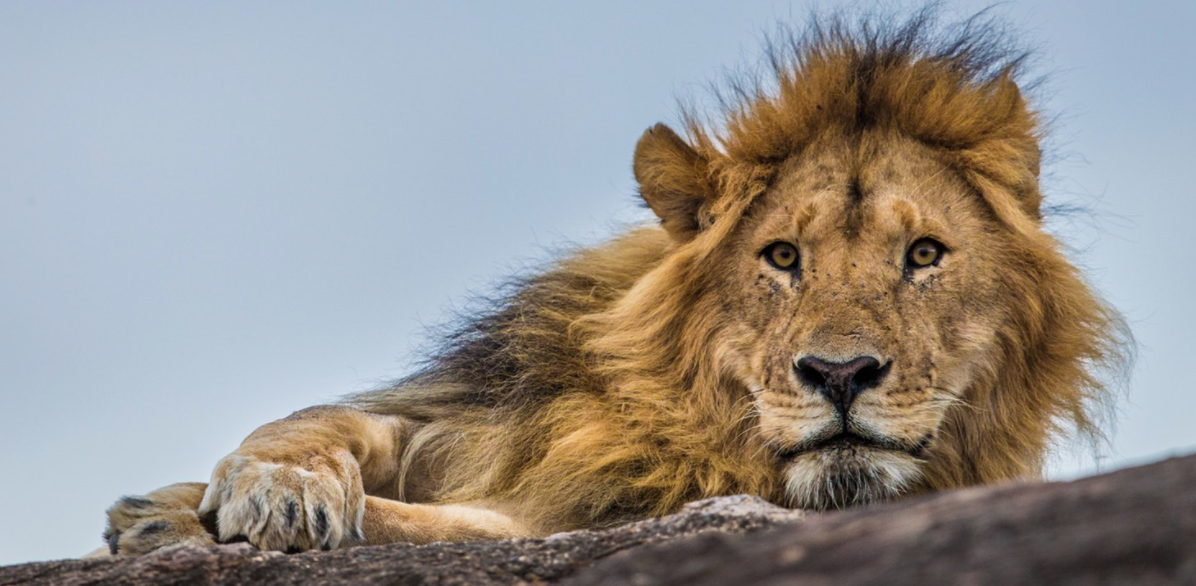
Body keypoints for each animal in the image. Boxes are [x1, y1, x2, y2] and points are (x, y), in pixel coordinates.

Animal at [100, 10, 1127, 556]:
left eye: (922, 255)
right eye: (782, 258)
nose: (838, 376)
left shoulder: (614, 513)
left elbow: (463, 528)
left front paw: (164, 521)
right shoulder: (474, 411)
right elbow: (322, 420)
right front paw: (271, 487)